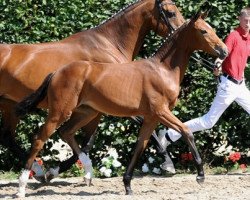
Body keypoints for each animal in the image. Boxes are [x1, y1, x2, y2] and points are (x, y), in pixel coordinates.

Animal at [0, 0, 184, 177]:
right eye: (170, 13)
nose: (181, 29)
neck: (109, 44)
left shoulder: (96, 108)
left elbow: (86, 142)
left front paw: (57, 171)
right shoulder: (120, 103)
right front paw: (168, 163)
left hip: (9, 105)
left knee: (8, 137)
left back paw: (37, 170)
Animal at [16, 9, 229, 197]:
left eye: (212, 28)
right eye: (203, 31)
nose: (224, 51)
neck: (162, 70)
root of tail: (56, 72)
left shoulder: (151, 118)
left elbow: (140, 146)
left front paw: (127, 185)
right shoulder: (161, 112)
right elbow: (186, 131)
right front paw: (200, 176)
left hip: (87, 112)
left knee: (66, 132)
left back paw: (85, 172)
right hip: (60, 112)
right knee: (39, 139)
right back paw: (22, 186)